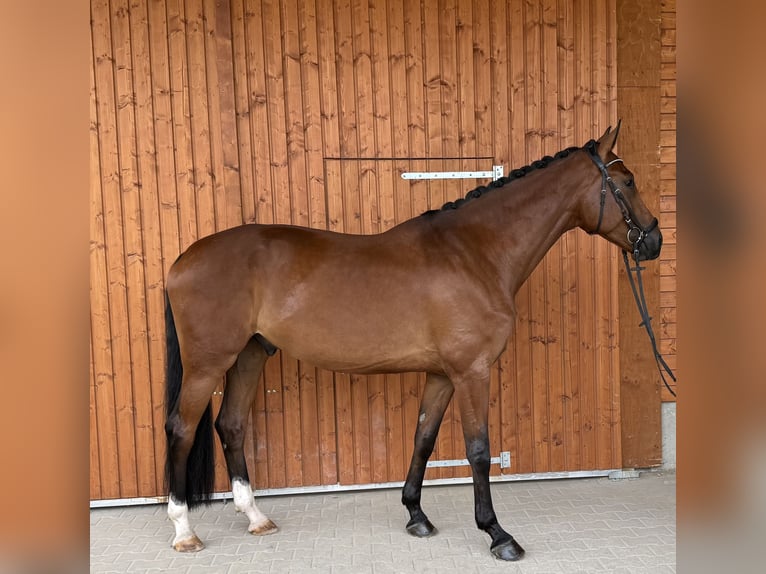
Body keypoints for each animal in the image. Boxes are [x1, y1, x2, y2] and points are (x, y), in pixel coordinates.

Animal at [164, 123, 662, 561]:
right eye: (628, 181)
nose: (654, 240)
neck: (474, 254)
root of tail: (184, 258)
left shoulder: (441, 374)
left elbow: (423, 438)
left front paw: (416, 515)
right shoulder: (471, 372)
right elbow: (478, 451)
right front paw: (497, 534)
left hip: (250, 354)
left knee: (231, 425)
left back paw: (256, 518)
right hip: (208, 364)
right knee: (181, 428)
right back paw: (185, 531)